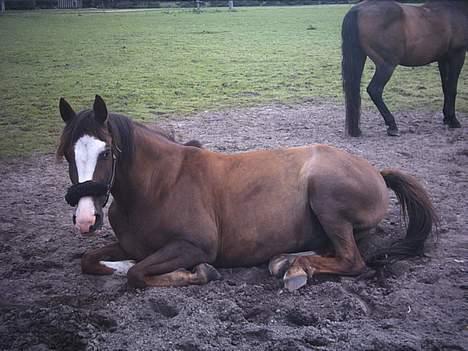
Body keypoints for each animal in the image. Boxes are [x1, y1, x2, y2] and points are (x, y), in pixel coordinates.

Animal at [58, 95, 438, 292]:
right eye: (67, 154)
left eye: (106, 152)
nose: (86, 218)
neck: (159, 185)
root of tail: (375, 171)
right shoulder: (131, 244)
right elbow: (91, 261)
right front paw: (116, 264)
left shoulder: (194, 246)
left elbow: (139, 274)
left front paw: (198, 273)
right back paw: (287, 261)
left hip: (326, 197)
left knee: (352, 260)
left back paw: (296, 270)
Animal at [342, 0, 466, 138]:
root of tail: (357, 9)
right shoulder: (458, 54)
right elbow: (452, 88)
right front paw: (453, 120)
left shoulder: (443, 59)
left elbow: (446, 88)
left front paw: (446, 118)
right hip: (387, 65)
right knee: (374, 90)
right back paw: (392, 126)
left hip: (360, 57)